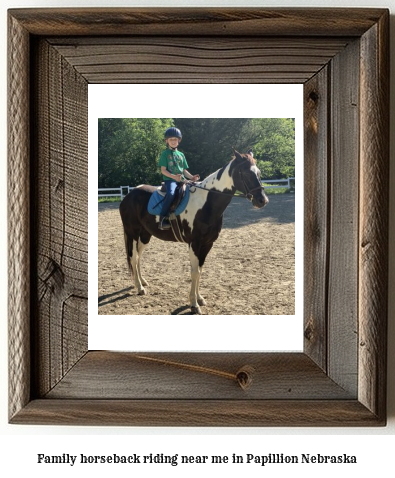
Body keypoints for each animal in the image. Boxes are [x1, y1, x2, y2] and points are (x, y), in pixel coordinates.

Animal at [120, 149, 270, 314]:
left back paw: (142, 282)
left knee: (139, 257)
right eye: (245, 173)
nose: (262, 200)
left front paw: (199, 299)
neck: (206, 203)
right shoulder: (194, 244)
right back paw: (139, 287)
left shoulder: (207, 244)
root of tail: (128, 195)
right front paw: (194, 304)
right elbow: (194, 272)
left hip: (146, 235)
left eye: (258, 172)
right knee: (133, 257)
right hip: (133, 233)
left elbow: (200, 270)